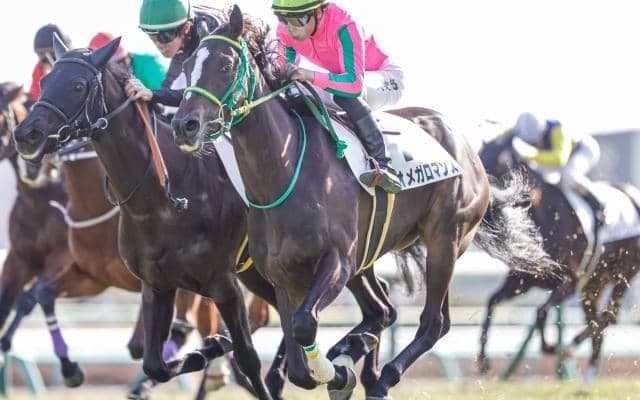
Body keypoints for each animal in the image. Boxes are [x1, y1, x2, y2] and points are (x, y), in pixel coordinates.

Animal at [13, 38, 284, 400]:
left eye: (78, 85)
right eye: (44, 81)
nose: (27, 134)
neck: (163, 199)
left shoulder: (222, 283)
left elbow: (248, 357)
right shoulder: (157, 283)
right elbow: (154, 363)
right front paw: (204, 350)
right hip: (253, 272)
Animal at [171, 7, 560, 399]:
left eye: (225, 64)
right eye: (188, 65)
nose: (184, 125)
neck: (284, 172)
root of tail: (467, 149)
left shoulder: (339, 260)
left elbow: (305, 324)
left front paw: (341, 372)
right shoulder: (283, 277)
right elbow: (298, 363)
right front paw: (339, 366)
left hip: (444, 240)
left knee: (433, 322)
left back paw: (381, 374)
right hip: (376, 255)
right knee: (384, 311)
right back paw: (357, 351)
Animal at [478, 130, 640, 382]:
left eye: (500, 159)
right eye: (480, 154)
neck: (546, 218)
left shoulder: (569, 282)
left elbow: (541, 311)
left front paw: (550, 346)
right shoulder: (523, 280)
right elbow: (492, 302)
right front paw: (484, 362)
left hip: (624, 274)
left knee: (608, 317)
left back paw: (570, 347)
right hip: (593, 285)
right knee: (598, 324)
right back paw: (587, 376)